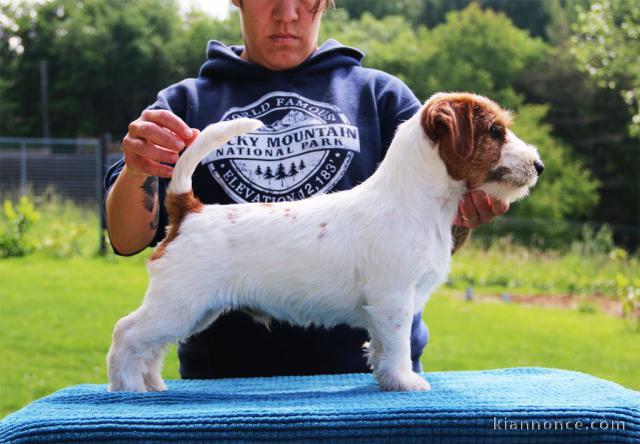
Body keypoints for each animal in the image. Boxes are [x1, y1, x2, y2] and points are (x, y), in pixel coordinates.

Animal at [107, 93, 544, 392]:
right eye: (496, 131)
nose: (539, 165)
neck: (416, 200)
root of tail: (189, 210)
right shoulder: (393, 300)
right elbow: (398, 345)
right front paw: (405, 382)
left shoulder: (387, 306)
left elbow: (381, 347)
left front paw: (386, 379)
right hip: (178, 304)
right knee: (127, 333)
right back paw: (125, 387)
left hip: (196, 311)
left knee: (150, 346)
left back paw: (151, 385)